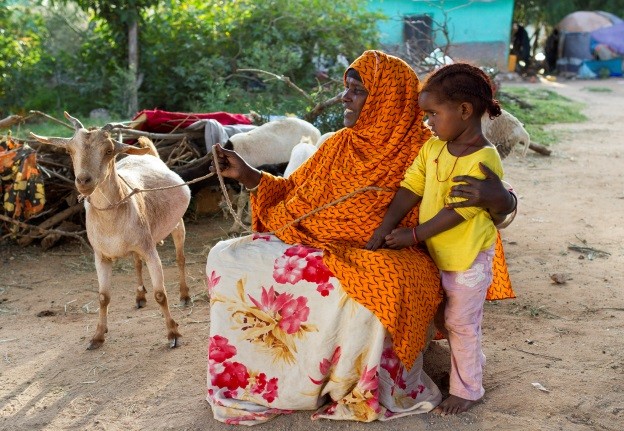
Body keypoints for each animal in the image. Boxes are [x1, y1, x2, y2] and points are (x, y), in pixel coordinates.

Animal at [31, 112, 190, 352]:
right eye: (69, 150)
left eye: (108, 150)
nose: (83, 181)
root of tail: (152, 156)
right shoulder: (101, 256)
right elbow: (103, 297)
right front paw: (97, 337)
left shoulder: (149, 249)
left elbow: (161, 294)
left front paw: (173, 334)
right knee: (136, 263)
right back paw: (140, 296)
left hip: (177, 224)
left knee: (180, 258)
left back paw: (184, 295)